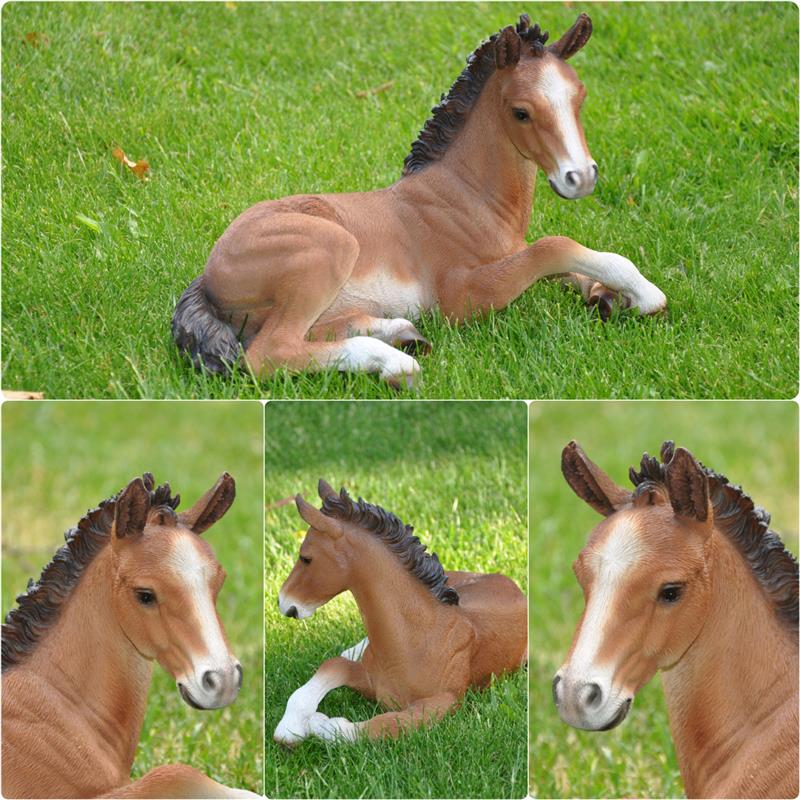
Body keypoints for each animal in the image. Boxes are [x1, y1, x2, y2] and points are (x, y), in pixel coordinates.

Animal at [172, 12, 667, 388]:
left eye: (579, 97)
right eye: (521, 112)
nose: (579, 177)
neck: (466, 195)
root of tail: (209, 274)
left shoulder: (511, 253)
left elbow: (568, 266)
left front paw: (610, 296)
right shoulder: (461, 296)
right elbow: (555, 247)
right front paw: (645, 296)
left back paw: (399, 332)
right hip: (331, 248)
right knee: (270, 352)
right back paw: (394, 361)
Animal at [272, 480, 527, 744]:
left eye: (306, 558)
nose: (284, 602)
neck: (415, 639)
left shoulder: (445, 701)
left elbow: (384, 725)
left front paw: (318, 723)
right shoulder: (368, 677)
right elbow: (334, 665)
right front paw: (291, 727)